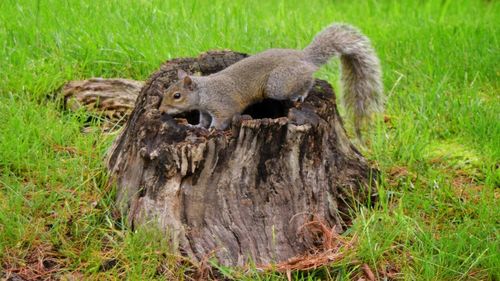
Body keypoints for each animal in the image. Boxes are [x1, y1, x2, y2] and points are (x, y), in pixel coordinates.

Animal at [160, 22, 382, 137]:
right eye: (166, 91)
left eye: (177, 95)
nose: (161, 111)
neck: (204, 91)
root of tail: (304, 57)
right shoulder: (205, 110)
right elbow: (204, 120)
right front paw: (196, 127)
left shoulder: (222, 105)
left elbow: (222, 119)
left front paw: (214, 130)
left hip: (278, 84)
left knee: (308, 80)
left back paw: (302, 94)